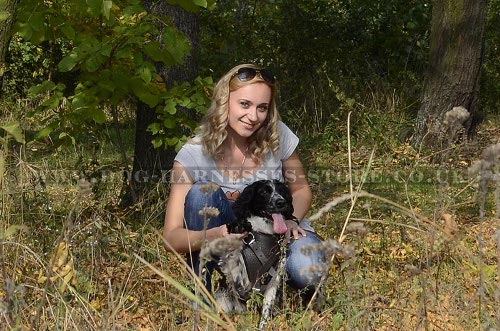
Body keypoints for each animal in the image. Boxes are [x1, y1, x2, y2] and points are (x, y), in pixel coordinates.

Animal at [215, 179, 292, 326]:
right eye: (264, 192)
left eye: (281, 191)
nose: (281, 202)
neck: (263, 232)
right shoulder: (233, 268)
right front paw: (238, 226)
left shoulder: (274, 280)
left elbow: (266, 310)